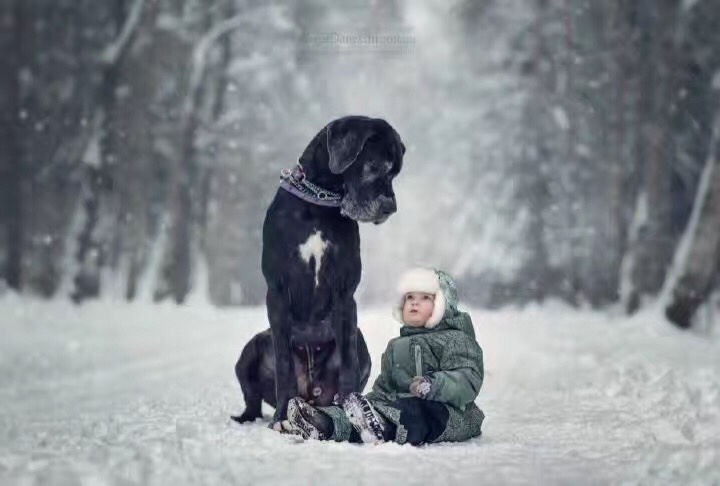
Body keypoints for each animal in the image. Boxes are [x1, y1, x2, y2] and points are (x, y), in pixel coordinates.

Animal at [260, 116, 408, 428]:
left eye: (395, 173)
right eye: (374, 165)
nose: (390, 207)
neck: (318, 203)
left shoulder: (344, 294)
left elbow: (348, 361)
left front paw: (350, 409)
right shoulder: (276, 292)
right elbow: (283, 365)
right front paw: (282, 416)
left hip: (360, 341)